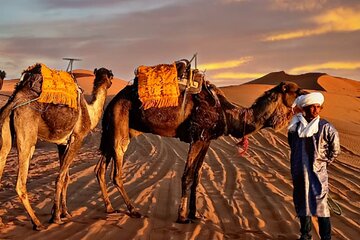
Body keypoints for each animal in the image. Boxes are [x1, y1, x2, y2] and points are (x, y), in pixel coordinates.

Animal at [0, 65, 113, 229]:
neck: (90, 113)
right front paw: (56, 216)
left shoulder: (62, 144)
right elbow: (60, 177)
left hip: (6, 134)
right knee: (20, 182)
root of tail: (14, 101)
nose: (110, 82)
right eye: (111, 76)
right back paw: (37, 223)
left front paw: (64, 212)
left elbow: (66, 177)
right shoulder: (77, 139)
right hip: (27, 134)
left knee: (4, 154)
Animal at [95, 79, 304, 223]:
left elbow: (196, 175)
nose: (308, 93)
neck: (227, 114)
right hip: (119, 127)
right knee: (116, 174)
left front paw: (195, 214)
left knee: (100, 170)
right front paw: (182, 216)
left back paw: (110, 207)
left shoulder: (206, 140)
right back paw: (133, 210)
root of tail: (111, 103)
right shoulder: (197, 137)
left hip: (112, 133)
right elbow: (187, 175)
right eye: (296, 91)